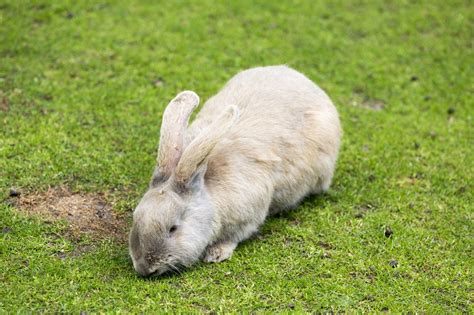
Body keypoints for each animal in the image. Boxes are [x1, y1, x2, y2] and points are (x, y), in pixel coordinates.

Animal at [130, 65, 340, 276]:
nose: (145, 269)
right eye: (135, 219)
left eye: (173, 228)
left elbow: (234, 237)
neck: (209, 192)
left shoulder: (248, 214)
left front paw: (216, 254)